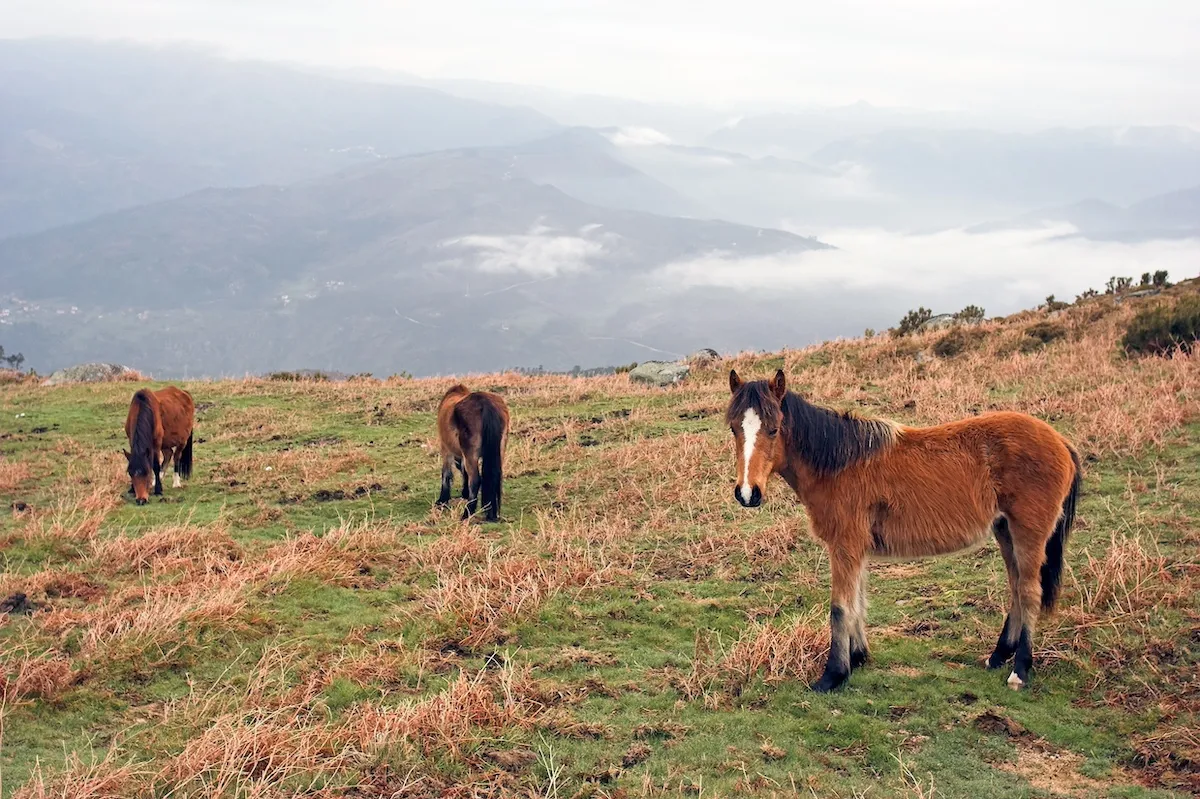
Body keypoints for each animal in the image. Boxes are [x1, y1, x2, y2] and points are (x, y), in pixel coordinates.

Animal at [436, 384, 509, 522]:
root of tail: (484, 402)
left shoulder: (446, 449)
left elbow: (446, 473)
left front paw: (442, 500)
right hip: (499, 451)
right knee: (495, 476)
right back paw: (492, 514)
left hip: (470, 454)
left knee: (475, 480)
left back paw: (466, 514)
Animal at [727, 368, 1081, 693]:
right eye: (733, 428)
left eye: (774, 429)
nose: (748, 493)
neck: (840, 463)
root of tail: (1060, 441)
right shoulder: (856, 549)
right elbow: (857, 601)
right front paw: (858, 657)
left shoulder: (844, 545)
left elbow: (840, 607)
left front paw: (833, 675)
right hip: (1005, 531)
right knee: (1016, 588)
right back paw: (998, 656)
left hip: (1028, 534)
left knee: (1029, 592)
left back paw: (1020, 670)